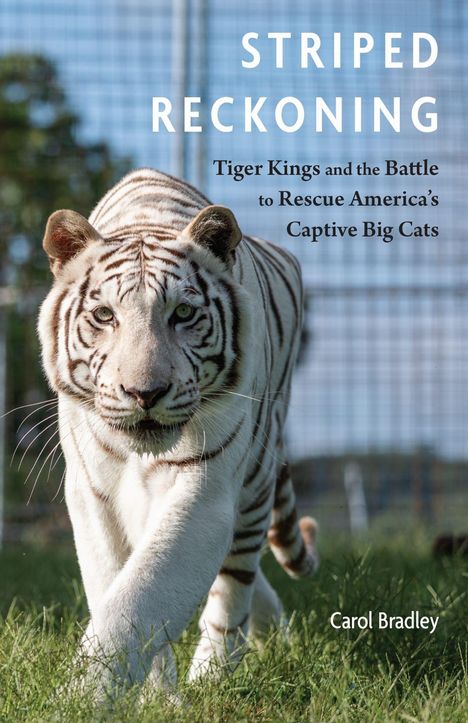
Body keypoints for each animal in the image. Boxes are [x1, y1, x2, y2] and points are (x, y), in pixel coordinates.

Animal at [38, 167, 319, 696]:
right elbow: (119, 589)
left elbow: (139, 597)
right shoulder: (91, 494)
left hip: (254, 488)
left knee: (233, 589)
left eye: (183, 314)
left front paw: (82, 698)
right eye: (104, 316)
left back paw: (216, 675)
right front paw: (153, 696)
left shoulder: (206, 492)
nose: (144, 392)